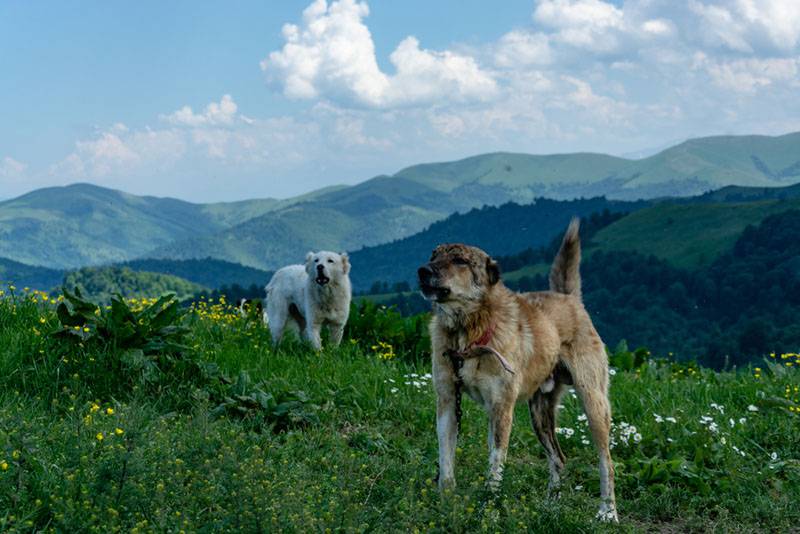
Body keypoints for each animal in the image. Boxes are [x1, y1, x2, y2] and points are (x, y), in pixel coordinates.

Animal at [418, 221, 620, 524]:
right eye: (433, 255)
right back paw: (550, 508)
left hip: (594, 402)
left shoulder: (502, 407)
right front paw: (446, 506)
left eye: (460, 261)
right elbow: (447, 464)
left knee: (606, 461)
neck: (468, 332)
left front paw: (488, 513)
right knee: (558, 458)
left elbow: (495, 466)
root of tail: (569, 298)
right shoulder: (448, 402)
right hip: (540, 413)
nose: (423, 270)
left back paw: (608, 511)